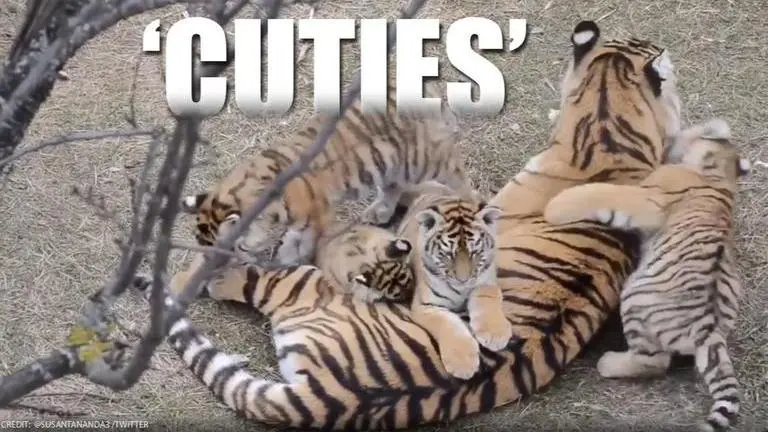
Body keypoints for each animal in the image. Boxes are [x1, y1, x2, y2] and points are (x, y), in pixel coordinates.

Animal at [180, 78, 474, 268]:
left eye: (233, 246)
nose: (218, 266)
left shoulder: (316, 217)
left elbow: (303, 244)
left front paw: (290, 261)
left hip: (424, 160)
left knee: (458, 175)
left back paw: (470, 203)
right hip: (389, 161)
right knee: (392, 185)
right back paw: (379, 212)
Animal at [543, 118, 749, 432]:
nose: (671, 138)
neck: (721, 177)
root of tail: (710, 331)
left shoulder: (647, 197)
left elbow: (600, 193)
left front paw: (555, 206)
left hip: (635, 301)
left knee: (654, 362)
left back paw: (608, 363)